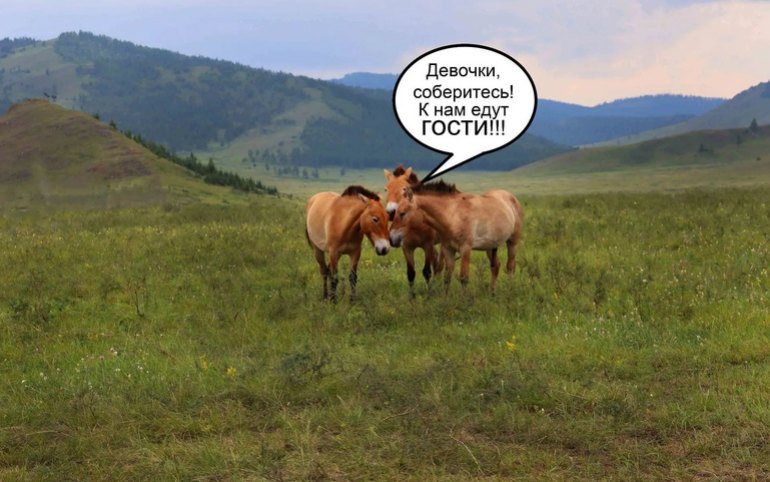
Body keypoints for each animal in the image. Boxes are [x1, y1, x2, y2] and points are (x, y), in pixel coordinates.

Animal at [384, 165, 442, 297]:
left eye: (405, 189)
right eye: (386, 189)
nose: (391, 212)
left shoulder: (428, 245)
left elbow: (426, 271)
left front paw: (429, 295)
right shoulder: (406, 247)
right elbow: (411, 273)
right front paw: (412, 297)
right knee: (437, 261)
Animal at [389, 180, 523, 293]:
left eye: (402, 213)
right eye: (394, 212)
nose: (391, 239)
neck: (453, 214)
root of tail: (511, 197)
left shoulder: (465, 249)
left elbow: (464, 278)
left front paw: (464, 303)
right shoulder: (448, 249)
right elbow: (447, 278)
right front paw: (445, 301)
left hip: (513, 242)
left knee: (510, 267)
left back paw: (510, 290)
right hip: (490, 247)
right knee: (496, 266)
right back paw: (492, 293)